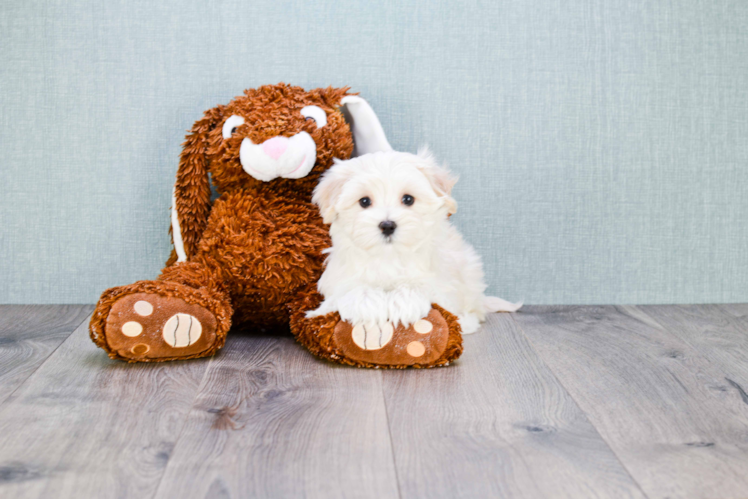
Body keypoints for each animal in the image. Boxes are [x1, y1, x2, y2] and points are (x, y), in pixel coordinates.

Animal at [304, 149, 520, 336]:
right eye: (364, 201)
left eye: (408, 199)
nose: (387, 225)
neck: (389, 256)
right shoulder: (341, 275)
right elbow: (354, 287)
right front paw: (368, 306)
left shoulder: (439, 279)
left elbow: (417, 285)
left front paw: (403, 305)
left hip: (469, 273)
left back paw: (465, 322)